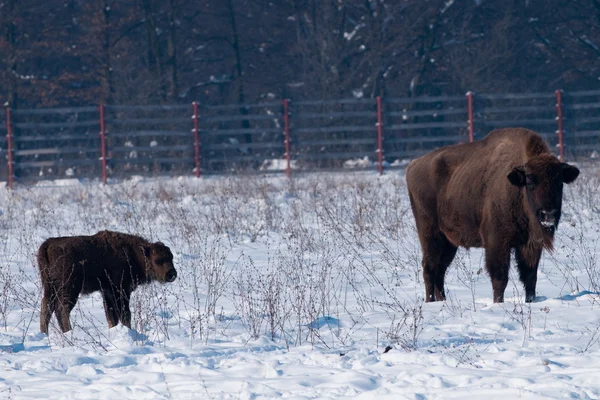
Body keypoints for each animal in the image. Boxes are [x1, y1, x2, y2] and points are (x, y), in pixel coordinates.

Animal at [37, 230, 177, 332]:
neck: (134, 254)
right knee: (61, 309)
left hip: (50, 288)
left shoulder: (107, 292)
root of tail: (48, 244)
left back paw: (45, 333)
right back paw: (68, 331)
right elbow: (125, 314)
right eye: (157, 260)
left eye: (171, 257)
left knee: (46, 308)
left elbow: (111, 316)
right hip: (69, 288)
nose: (172, 274)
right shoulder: (120, 291)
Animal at [406, 128, 580, 304]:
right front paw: (498, 303)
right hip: (430, 235)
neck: (517, 189)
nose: (548, 214)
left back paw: (442, 300)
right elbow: (500, 278)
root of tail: (413, 165)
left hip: (449, 241)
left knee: (440, 269)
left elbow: (530, 278)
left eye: (560, 182)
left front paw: (530, 301)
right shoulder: (497, 243)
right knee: (429, 267)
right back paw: (430, 301)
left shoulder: (530, 245)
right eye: (530, 181)